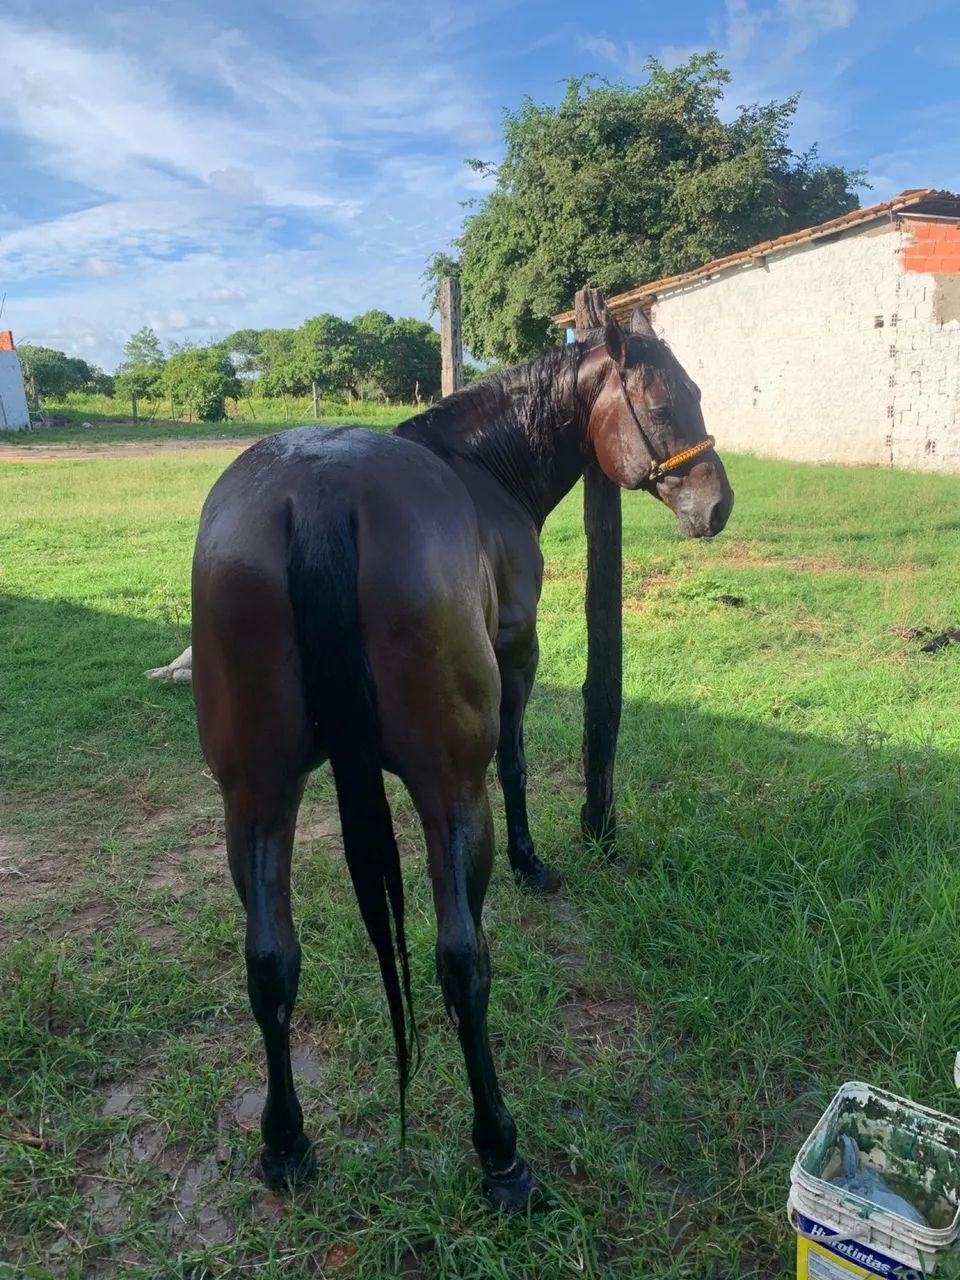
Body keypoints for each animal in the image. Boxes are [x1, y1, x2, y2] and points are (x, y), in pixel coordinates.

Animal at [190, 306, 734, 1210]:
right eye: (666, 399)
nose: (717, 504)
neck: (481, 468)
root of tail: (320, 496)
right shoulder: (518, 655)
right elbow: (515, 765)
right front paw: (531, 861)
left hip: (257, 800)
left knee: (269, 964)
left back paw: (286, 1144)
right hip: (448, 795)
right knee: (460, 964)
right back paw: (501, 1155)